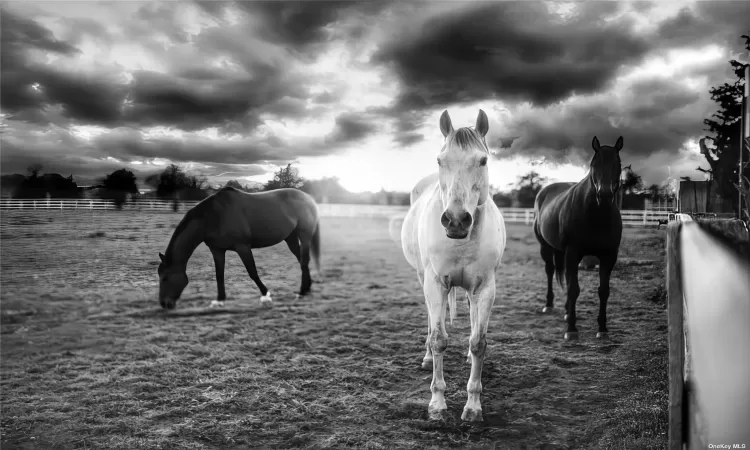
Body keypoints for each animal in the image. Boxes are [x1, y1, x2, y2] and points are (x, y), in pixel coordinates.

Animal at [157, 186, 322, 310]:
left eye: (165, 278)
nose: (164, 304)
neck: (213, 216)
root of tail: (309, 198)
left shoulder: (242, 247)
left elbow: (252, 272)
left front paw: (266, 295)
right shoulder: (217, 250)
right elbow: (219, 274)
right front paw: (220, 299)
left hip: (304, 236)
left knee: (304, 260)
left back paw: (303, 290)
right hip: (290, 237)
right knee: (301, 259)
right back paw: (307, 287)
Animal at [402, 109, 508, 422]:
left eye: (483, 160)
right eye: (440, 160)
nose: (456, 220)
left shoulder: (485, 287)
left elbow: (478, 342)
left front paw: (473, 406)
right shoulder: (435, 284)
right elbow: (439, 339)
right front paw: (437, 403)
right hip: (424, 278)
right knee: (431, 321)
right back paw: (427, 358)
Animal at [536, 135, 624, 340]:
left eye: (618, 164)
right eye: (594, 164)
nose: (605, 194)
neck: (597, 215)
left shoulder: (609, 256)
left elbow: (603, 291)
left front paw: (602, 329)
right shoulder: (573, 253)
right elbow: (574, 289)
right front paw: (571, 329)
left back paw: (567, 311)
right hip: (546, 248)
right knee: (550, 271)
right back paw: (549, 305)